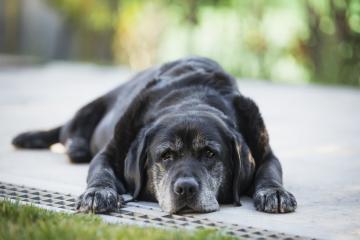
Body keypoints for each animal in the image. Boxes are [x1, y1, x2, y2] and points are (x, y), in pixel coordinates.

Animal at [12, 57, 296, 215]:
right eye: (166, 155)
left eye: (209, 153)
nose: (185, 189)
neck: (191, 97)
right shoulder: (110, 151)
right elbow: (100, 172)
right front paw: (98, 193)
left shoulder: (265, 152)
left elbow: (269, 172)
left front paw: (274, 193)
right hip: (95, 105)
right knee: (66, 130)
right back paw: (72, 145)